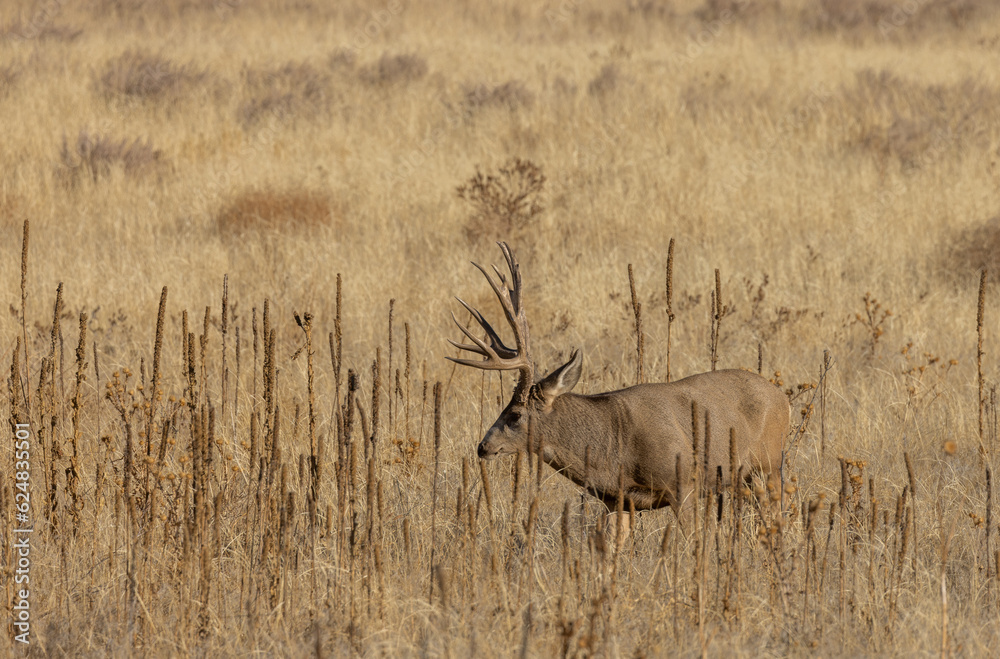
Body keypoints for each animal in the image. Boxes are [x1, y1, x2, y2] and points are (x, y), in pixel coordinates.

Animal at [448, 242, 790, 543]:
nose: (483, 446)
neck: (612, 448)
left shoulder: (684, 482)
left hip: (768, 465)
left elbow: (694, 539)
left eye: (515, 414)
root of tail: (782, 397)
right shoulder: (617, 500)